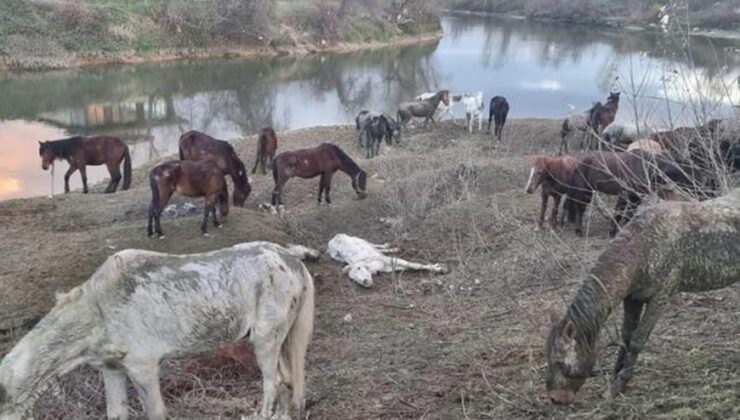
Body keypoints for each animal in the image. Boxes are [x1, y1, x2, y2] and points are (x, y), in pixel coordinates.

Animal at [0, 241, 316, 420]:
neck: (97, 312)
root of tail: (293, 262)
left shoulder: (143, 368)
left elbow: (156, 413)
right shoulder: (111, 370)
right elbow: (117, 414)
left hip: (265, 341)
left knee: (274, 383)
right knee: (288, 383)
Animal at [544, 187, 740, 404]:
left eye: (561, 362)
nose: (555, 398)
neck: (645, 247)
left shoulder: (661, 297)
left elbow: (638, 340)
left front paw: (620, 383)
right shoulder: (633, 298)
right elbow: (626, 336)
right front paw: (614, 377)